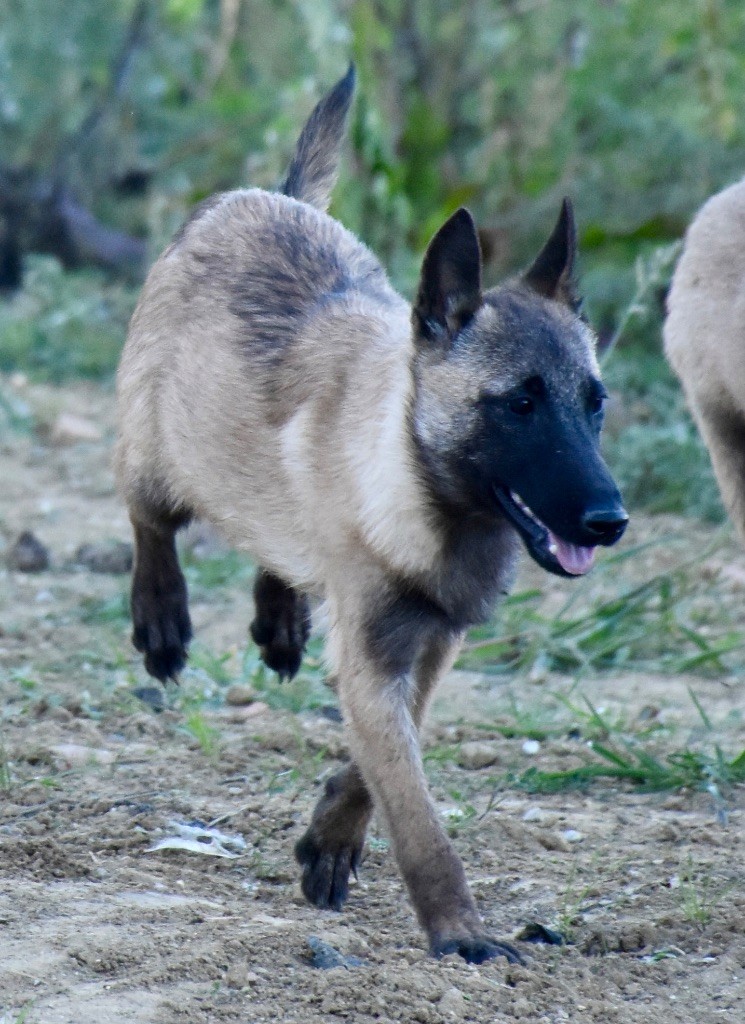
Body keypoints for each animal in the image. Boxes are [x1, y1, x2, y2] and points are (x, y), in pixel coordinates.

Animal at [116, 68, 630, 962]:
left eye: (593, 403)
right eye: (520, 404)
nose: (608, 519)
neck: (426, 490)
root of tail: (267, 195)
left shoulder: (423, 646)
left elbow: (388, 758)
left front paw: (331, 835)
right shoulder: (373, 653)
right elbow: (416, 812)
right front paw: (459, 932)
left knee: (275, 542)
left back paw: (279, 619)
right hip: (156, 449)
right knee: (151, 521)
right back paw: (163, 619)